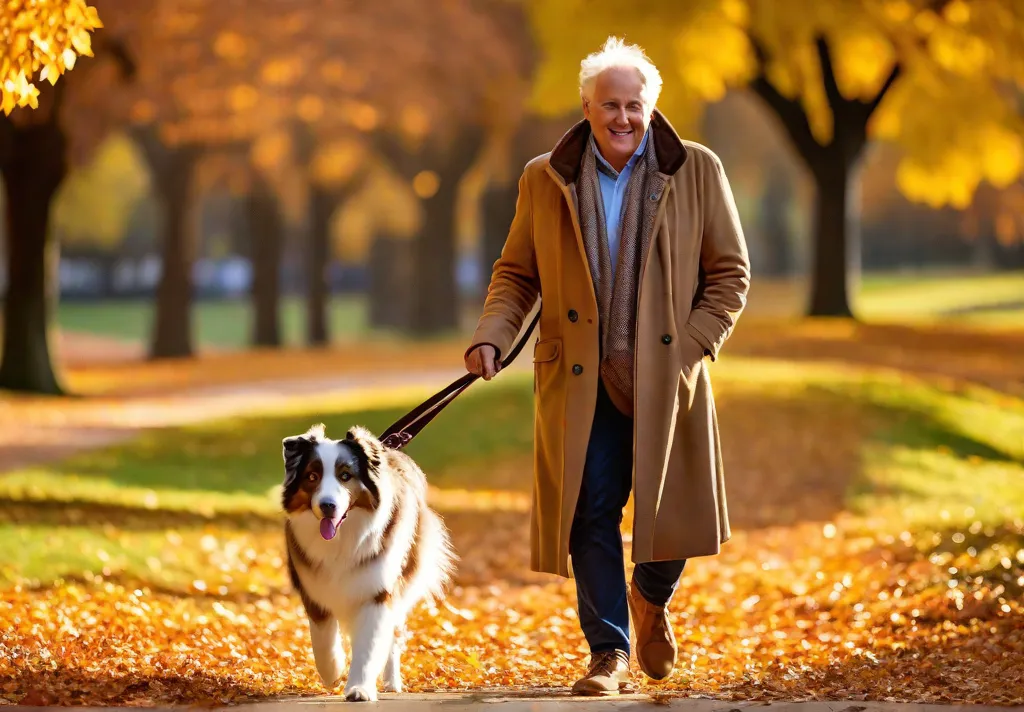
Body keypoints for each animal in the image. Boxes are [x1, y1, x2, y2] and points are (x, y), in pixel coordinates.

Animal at [280, 424, 456, 700]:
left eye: (345, 476)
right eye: (312, 476)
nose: (327, 506)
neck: (342, 540)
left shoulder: (378, 591)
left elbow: (369, 644)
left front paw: (359, 689)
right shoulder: (313, 590)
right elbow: (322, 640)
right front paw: (333, 671)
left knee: (394, 637)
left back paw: (392, 682)